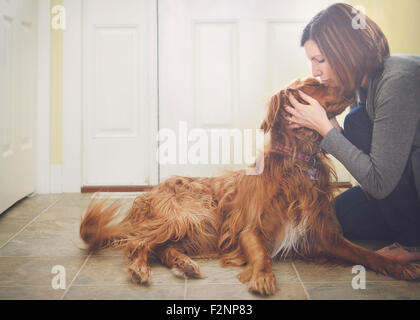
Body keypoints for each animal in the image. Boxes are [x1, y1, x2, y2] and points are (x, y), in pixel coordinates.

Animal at [79, 77, 420, 296]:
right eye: (314, 84)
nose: (354, 87)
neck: (297, 162)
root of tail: (146, 195)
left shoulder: (323, 234)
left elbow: (366, 254)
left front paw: (399, 267)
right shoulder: (249, 229)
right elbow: (261, 253)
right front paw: (263, 276)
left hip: (202, 228)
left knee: (163, 248)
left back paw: (185, 264)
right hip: (190, 214)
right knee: (140, 244)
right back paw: (140, 268)